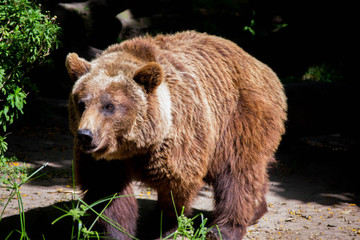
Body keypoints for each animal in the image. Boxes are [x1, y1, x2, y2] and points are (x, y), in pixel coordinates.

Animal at [66, 31, 286, 239]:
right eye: (82, 103)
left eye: (109, 106)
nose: (86, 135)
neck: (135, 146)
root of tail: (261, 66)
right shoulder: (105, 159)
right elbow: (108, 191)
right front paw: (117, 231)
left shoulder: (179, 137)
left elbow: (176, 188)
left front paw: (162, 228)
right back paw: (257, 210)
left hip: (239, 118)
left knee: (237, 174)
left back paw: (222, 230)